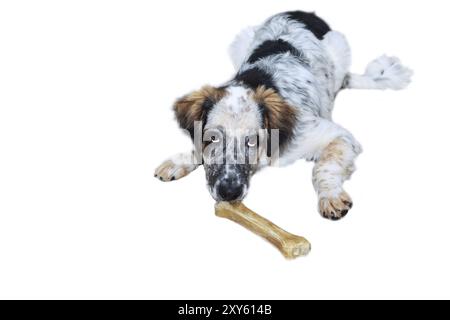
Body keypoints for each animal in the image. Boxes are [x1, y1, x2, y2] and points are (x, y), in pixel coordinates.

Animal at [155, 10, 412, 220]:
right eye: (212, 139)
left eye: (252, 141)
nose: (229, 192)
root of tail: (303, 11)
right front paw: (180, 160)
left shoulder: (338, 135)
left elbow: (324, 165)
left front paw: (329, 196)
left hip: (340, 46)